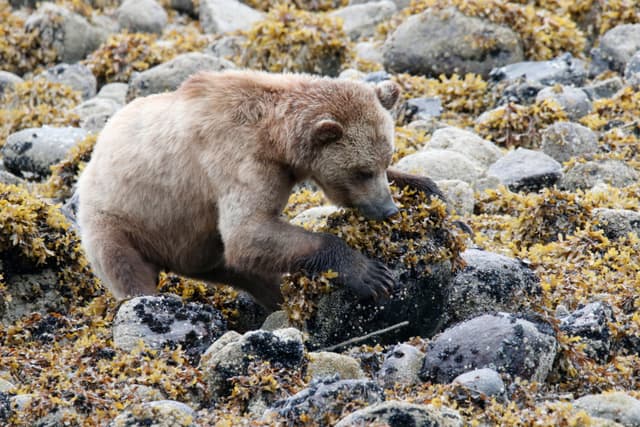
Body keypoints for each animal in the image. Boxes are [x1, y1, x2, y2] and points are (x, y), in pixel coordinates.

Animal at [77, 70, 444, 311]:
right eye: (362, 171)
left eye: (385, 159)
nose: (388, 209)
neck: (275, 138)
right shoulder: (238, 161)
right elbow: (248, 230)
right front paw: (370, 274)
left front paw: (425, 185)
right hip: (117, 220)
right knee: (126, 267)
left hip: (196, 243)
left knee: (244, 270)